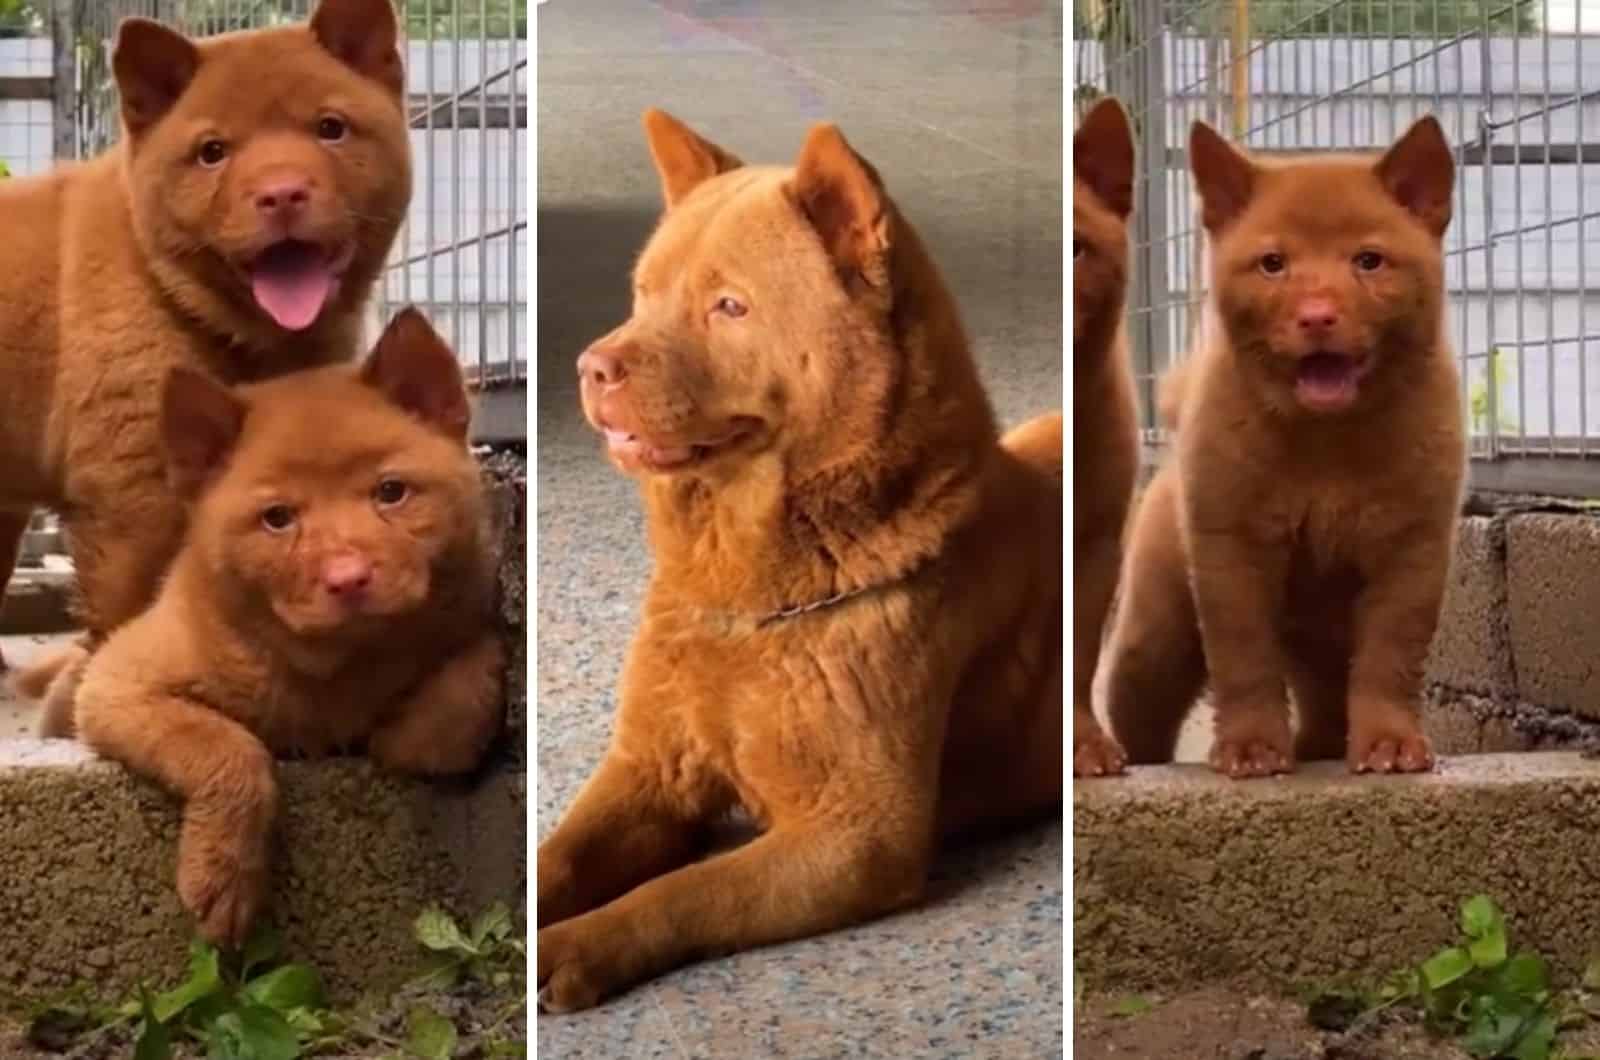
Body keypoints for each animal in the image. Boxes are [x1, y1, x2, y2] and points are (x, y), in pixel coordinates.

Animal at [70, 307, 499, 947]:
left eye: (391, 492)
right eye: (277, 519)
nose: (349, 579)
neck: (336, 663)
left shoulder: (472, 614)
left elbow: (473, 688)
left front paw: (405, 736)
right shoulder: (119, 683)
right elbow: (227, 744)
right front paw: (223, 875)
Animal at [534, 112, 1062, 1018]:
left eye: (729, 306)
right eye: (643, 294)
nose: (591, 368)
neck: (749, 594)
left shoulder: (856, 835)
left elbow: (686, 889)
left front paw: (578, 943)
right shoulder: (648, 770)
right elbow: (558, 855)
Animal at [1100, 118, 1465, 781]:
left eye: (1369, 261)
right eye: (1272, 264)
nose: (1317, 316)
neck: (1325, 438)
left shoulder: (1413, 551)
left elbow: (1391, 657)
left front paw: (1390, 744)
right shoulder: (1231, 549)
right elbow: (1244, 659)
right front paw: (1251, 749)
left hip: (1318, 633)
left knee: (1326, 692)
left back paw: (1322, 744)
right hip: (1156, 634)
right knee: (1142, 706)